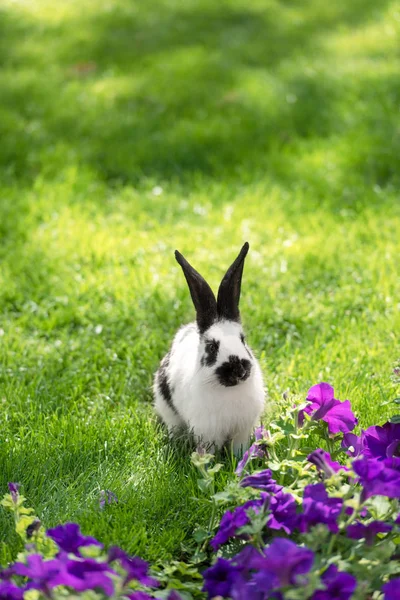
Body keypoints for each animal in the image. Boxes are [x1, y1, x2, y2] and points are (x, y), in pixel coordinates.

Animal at [153, 241, 266, 452]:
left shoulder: (242, 430)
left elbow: (238, 448)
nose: (239, 370)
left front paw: (241, 458)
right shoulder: (206, 432)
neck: (228, 390)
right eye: (212, 347)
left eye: (243, 339)